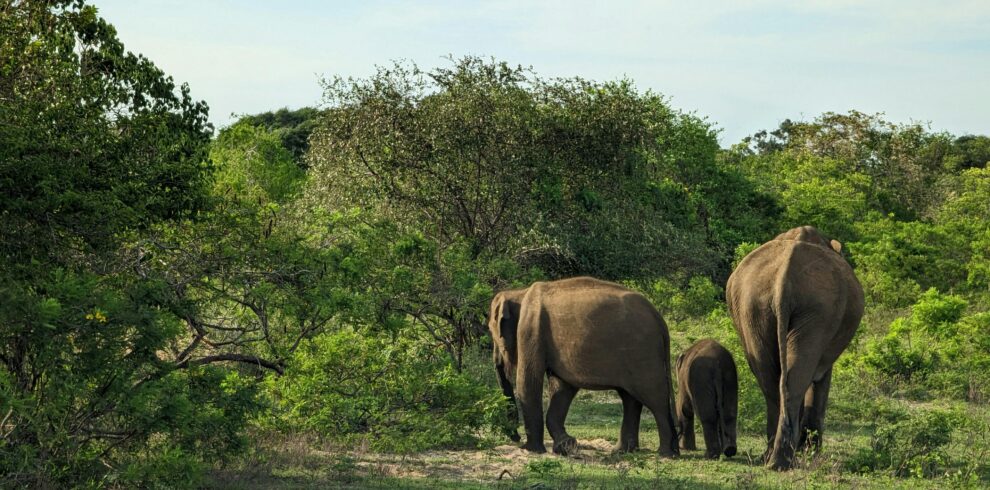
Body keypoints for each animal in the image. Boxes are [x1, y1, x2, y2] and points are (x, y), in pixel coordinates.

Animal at [488, 276, 678, 457]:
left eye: (492, 333)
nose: (516, 437)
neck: (519, 292)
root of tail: (659, 319)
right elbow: (562, 388)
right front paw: (566, 446)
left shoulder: (530, 331)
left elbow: (528, 383)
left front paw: (532, 450)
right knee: (630, 398)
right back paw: (623, 451)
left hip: (643, 353)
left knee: (654, 398)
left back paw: (665, 453)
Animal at [726, 226, 864, 470]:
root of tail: (784, 278)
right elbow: (820, 377)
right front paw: (811, 451)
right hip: (819, 310)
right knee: (795, 379)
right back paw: (783, 461)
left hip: (753, 308)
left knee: (772, 381)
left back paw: (771, 459)